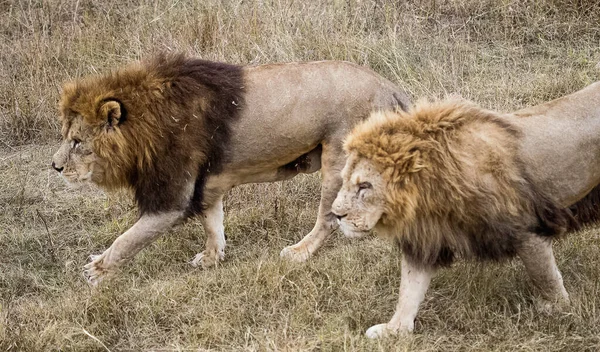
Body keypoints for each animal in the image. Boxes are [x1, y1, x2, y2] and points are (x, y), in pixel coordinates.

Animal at [51, 52, 410, 284]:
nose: (54, 167)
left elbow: (128, 239)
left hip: (338, 159)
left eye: (77, 142)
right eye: (67, 137)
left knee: (328, 218)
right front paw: (212, 258)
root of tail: (389, 85)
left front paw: (96, 270)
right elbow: (212, 224)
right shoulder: (207, 184)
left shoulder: (171, 199)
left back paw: (300, 252)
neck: (145, 126)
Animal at [330, 82, 600, 338]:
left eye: (364, 186)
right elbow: (409, 290)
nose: (336, 215)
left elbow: (544, 275)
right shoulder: (427, 238)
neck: (429, 193)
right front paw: (395, 329)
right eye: (344, 180)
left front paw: (559, 309)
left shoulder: (525, 229)